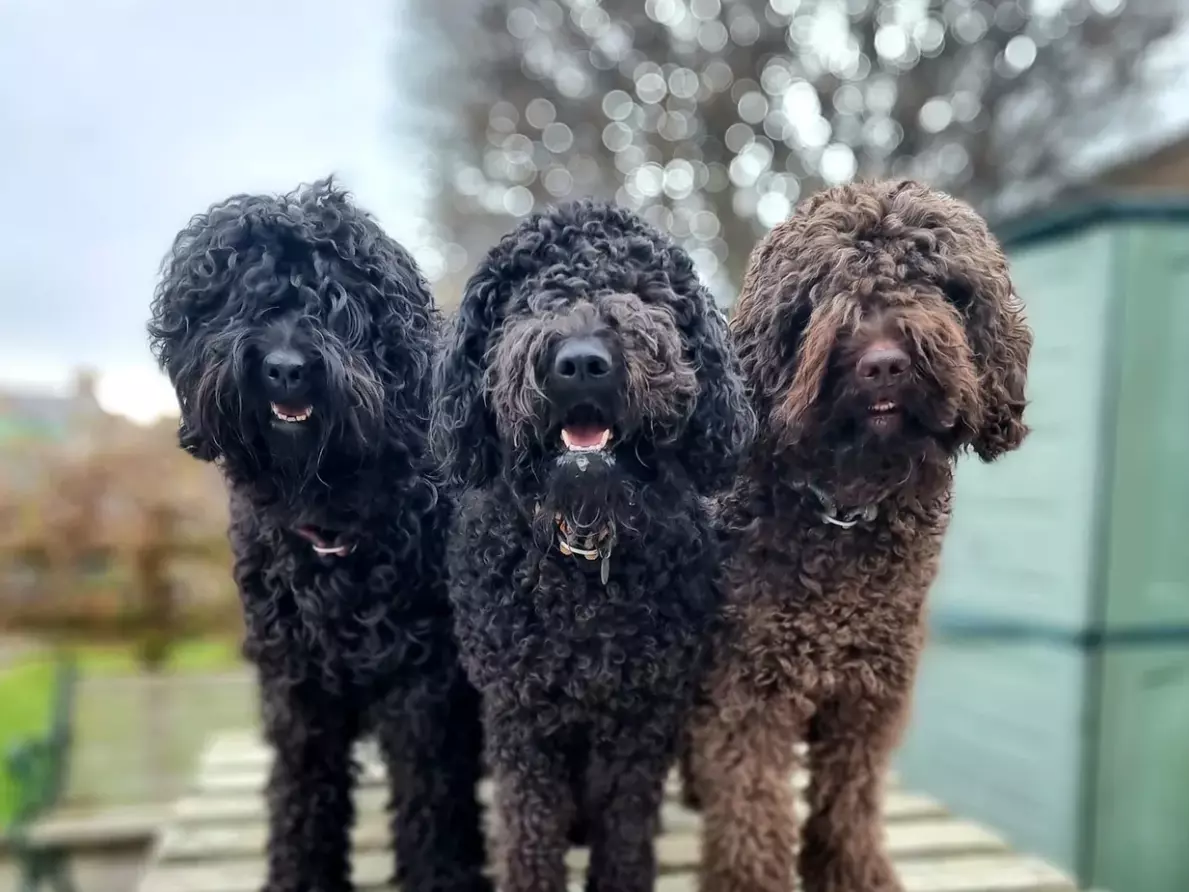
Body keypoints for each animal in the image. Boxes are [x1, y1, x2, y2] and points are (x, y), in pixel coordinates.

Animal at [147, 179, 487, 892]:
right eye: (241, 297)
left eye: (337, 301)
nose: (284, 368)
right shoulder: (298, 688)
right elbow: (303, 799)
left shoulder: (423, 689)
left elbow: (432, 805)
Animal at [432, 200, 756, 892]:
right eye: (526, 293)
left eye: (642, 290)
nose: (581, 360)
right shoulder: (521, 718)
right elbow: (530, 833)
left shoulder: (639, 719)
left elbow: (626, 829)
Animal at [684, 179, 1036, 892]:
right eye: (821, 289)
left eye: (938, 282)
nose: (883, 364)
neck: (842, 509)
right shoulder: (746, 690)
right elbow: (751, 802)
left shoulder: (869, 692)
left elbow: (849, 796)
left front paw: (853, 872)